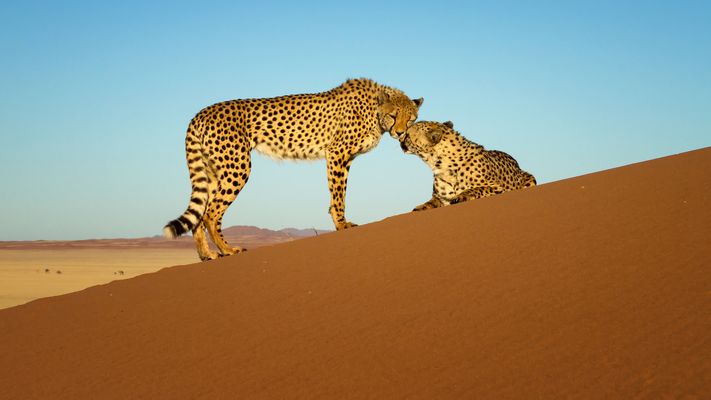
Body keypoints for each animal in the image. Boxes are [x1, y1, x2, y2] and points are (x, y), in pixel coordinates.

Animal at [164, 78, 423, 261]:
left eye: (411, 119)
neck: (375, 111)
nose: (401, 132)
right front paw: (341, 225)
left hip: (214, 171)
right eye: (393, 116)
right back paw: (227, 250)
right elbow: (339, 194)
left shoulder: (343, 157)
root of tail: (201, 113)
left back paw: (207, 254)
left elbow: (338, 193)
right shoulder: (337, 153)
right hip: (237, 167)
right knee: (211, 212)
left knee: (200, 213)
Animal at [399, 120, 536, 211]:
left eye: (407, 135)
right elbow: (431, 202)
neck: (440, 164)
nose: (399, 138)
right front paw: (420, 207)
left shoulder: (498, 188)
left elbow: (476, 189)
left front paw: (461, 196)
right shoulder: (440, 198)